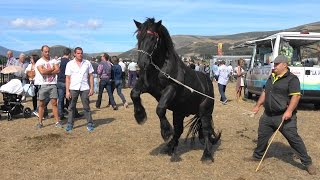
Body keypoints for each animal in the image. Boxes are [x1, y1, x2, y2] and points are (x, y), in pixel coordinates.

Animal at [131, 18, 220, 163]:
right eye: (139, 37)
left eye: (153, 38)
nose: (141, 64)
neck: (161, 69)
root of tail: (208, 83)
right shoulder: (146, 86)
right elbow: (133, 94)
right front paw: (140, 116)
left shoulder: (171, 89)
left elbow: (160, 108)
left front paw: (166, 132)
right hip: (179, 111)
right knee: (179, 129)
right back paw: (169, 148)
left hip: (204, 111)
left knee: (206, 130)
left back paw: (206, 155)